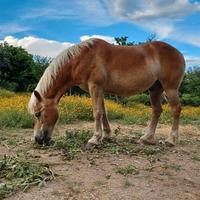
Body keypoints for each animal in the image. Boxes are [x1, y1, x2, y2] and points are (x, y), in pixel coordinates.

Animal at [28, 38, 184, 149]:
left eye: (38, 114)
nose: (37, 139)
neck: (82, 57)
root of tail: (179, 54)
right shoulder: (100, 89)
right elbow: (103, 112)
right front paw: (107, 136)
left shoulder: (95, 87)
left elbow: (97, 112)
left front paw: (94, 139)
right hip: (155, 89)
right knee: (157, 110)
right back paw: (146, 138)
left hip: (170, 88)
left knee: (175, 110)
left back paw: (171, 140)